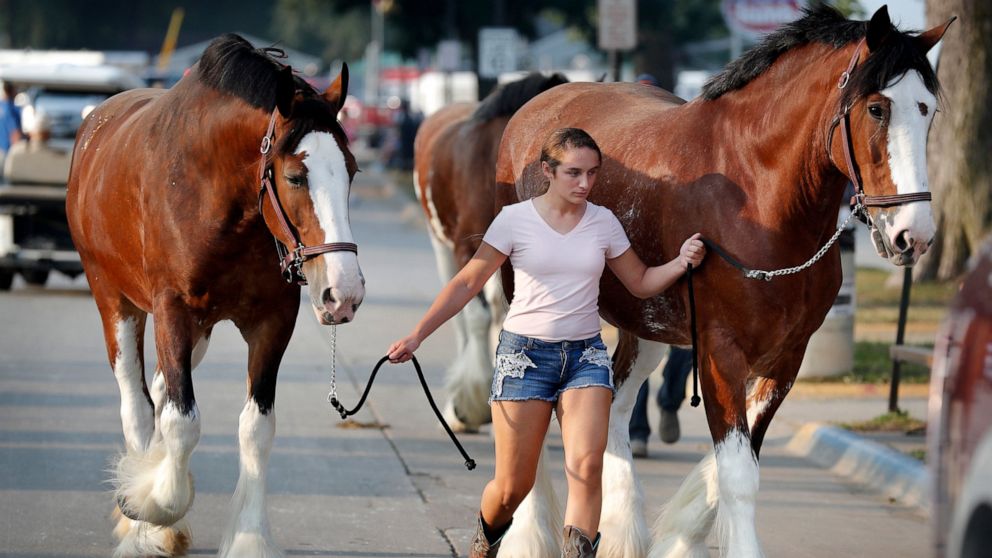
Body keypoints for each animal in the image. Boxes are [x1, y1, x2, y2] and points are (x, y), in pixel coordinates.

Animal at [68, 35, 366, 558]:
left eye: (351, 171)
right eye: (295, 177)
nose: (343, 291)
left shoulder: (272, 321)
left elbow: (255, 428)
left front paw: (250, 537)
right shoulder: (172, 312)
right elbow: (180, 422)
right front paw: (149, 507)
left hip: (202, 329)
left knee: (159, 391)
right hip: (116, 301)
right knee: (138, 405)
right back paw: (142, 518)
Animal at [496, 5, 952, 558]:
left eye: (928, 110)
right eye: (877, 109)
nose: (914, 236)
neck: (756, 196)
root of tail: (540, 107)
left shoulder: (785, 358)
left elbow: (734, 462)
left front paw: (679, 536)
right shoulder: (720, 352)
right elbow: (736, 476)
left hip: (645, 326)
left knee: (613, 411)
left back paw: (623, 534)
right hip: (526, 307)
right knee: (527, 418)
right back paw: (529, 536)